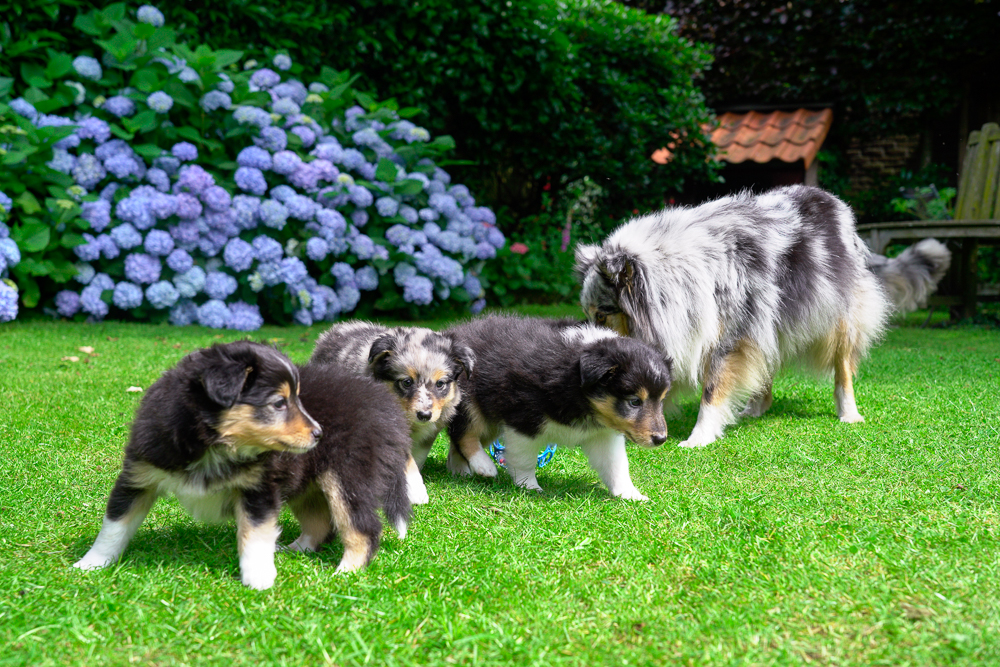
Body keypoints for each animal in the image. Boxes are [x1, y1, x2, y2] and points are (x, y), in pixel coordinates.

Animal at [74, 341, 411, 589]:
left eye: (298, 399)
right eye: (280, 403)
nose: (319, 433)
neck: (213, 445)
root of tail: (386, 406)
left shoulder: (258, 490)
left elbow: (254, 536)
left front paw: (258, 579)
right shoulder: (139, 475)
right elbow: (115, 525)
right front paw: (90, 564)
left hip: (347, 476)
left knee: (362, 527)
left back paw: (346, 572)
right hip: (308, 480)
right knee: (319, 522)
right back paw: (295, 550)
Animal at [311, 321, 478, 494]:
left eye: (440, 384)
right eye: (407, 382)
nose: (424, 415)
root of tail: (333, 331)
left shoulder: (429, 432)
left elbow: (418, 455)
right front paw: (416, 490)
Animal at [444, 314, 672, 500]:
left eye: (661, 400)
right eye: (634, 401)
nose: (661, 439)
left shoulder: (603, 435)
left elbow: (616, 465)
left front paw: (630, 494)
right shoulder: (523, 421)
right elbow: (524, 459)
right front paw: (529, 487)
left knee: (458, 442)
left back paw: (461, 472)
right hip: (468, 401)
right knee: (464, 435)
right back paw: (483, 465)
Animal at [576, 185, 892, 448]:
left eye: (603, 314)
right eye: (587, 313)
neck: (678, 278)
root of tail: (830, 198)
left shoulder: (730, 338)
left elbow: (712, 390)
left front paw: (699, 437)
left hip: (838, 317)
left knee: (843, 366)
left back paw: (849, 413)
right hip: (770, 321)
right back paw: (755, 407)